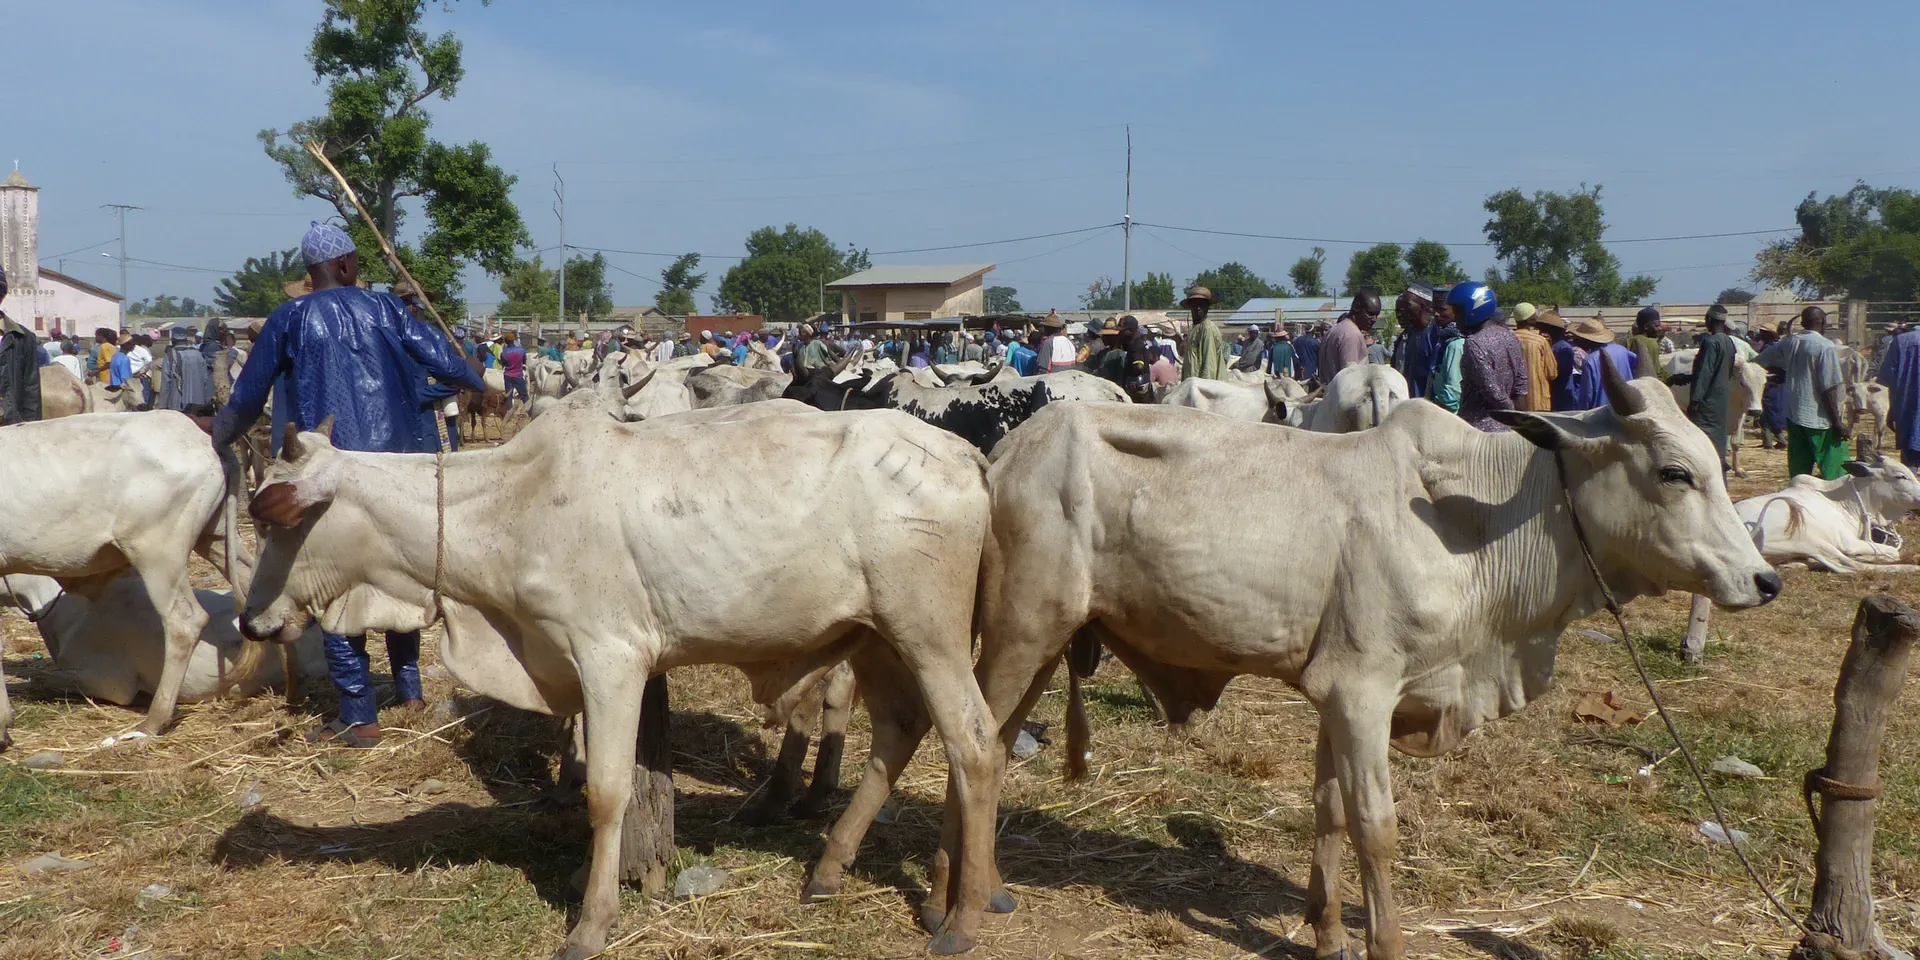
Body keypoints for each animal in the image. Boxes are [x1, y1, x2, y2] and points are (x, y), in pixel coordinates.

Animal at [237, 402, 1005, 958]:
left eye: (278, 518)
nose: (249, 620)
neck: (510, 505)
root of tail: (964, 452)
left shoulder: (611, 657)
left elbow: (607, 792)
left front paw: (591, 921)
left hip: (928, 633)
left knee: (975, 745)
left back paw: (962, 917)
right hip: (874, 636)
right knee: (901, 732)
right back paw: (838, 871)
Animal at [818, 356, 1779, 960]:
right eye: (1673, 472)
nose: (1763, 579)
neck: (1477, 521)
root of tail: (1002, 452)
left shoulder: (1334, 693)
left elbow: (1327, 809)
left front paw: (1326, 932)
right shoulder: (1364, 691)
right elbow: (1376, 825)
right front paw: (1383, 943)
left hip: (1047, 641)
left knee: (986, 738)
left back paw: (981, 889)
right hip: (1024, 628)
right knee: (970, 742)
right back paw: (949, 909)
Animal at [1737, 455, 1920, 573]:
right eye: (1900, 476)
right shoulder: (1848, 543)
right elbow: (1893, 552)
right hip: (1810, 541)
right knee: (1851, 566)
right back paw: (1910, 568)